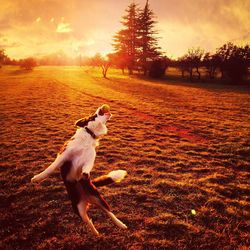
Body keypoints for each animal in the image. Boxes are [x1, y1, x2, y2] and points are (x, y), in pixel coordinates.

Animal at [31, 104, 128, 235]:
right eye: (93, 115)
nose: (101, 107)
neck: (89, 135)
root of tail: (87, 199)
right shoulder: (64, 155)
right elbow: (51, 168)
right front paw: (37, 178)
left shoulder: (90, 158)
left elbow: (87, 167)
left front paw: (85, 174)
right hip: (78, 209)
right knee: (89, 220)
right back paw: (95, 233)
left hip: (99, 199)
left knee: (108, 213)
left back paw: (119, 224)